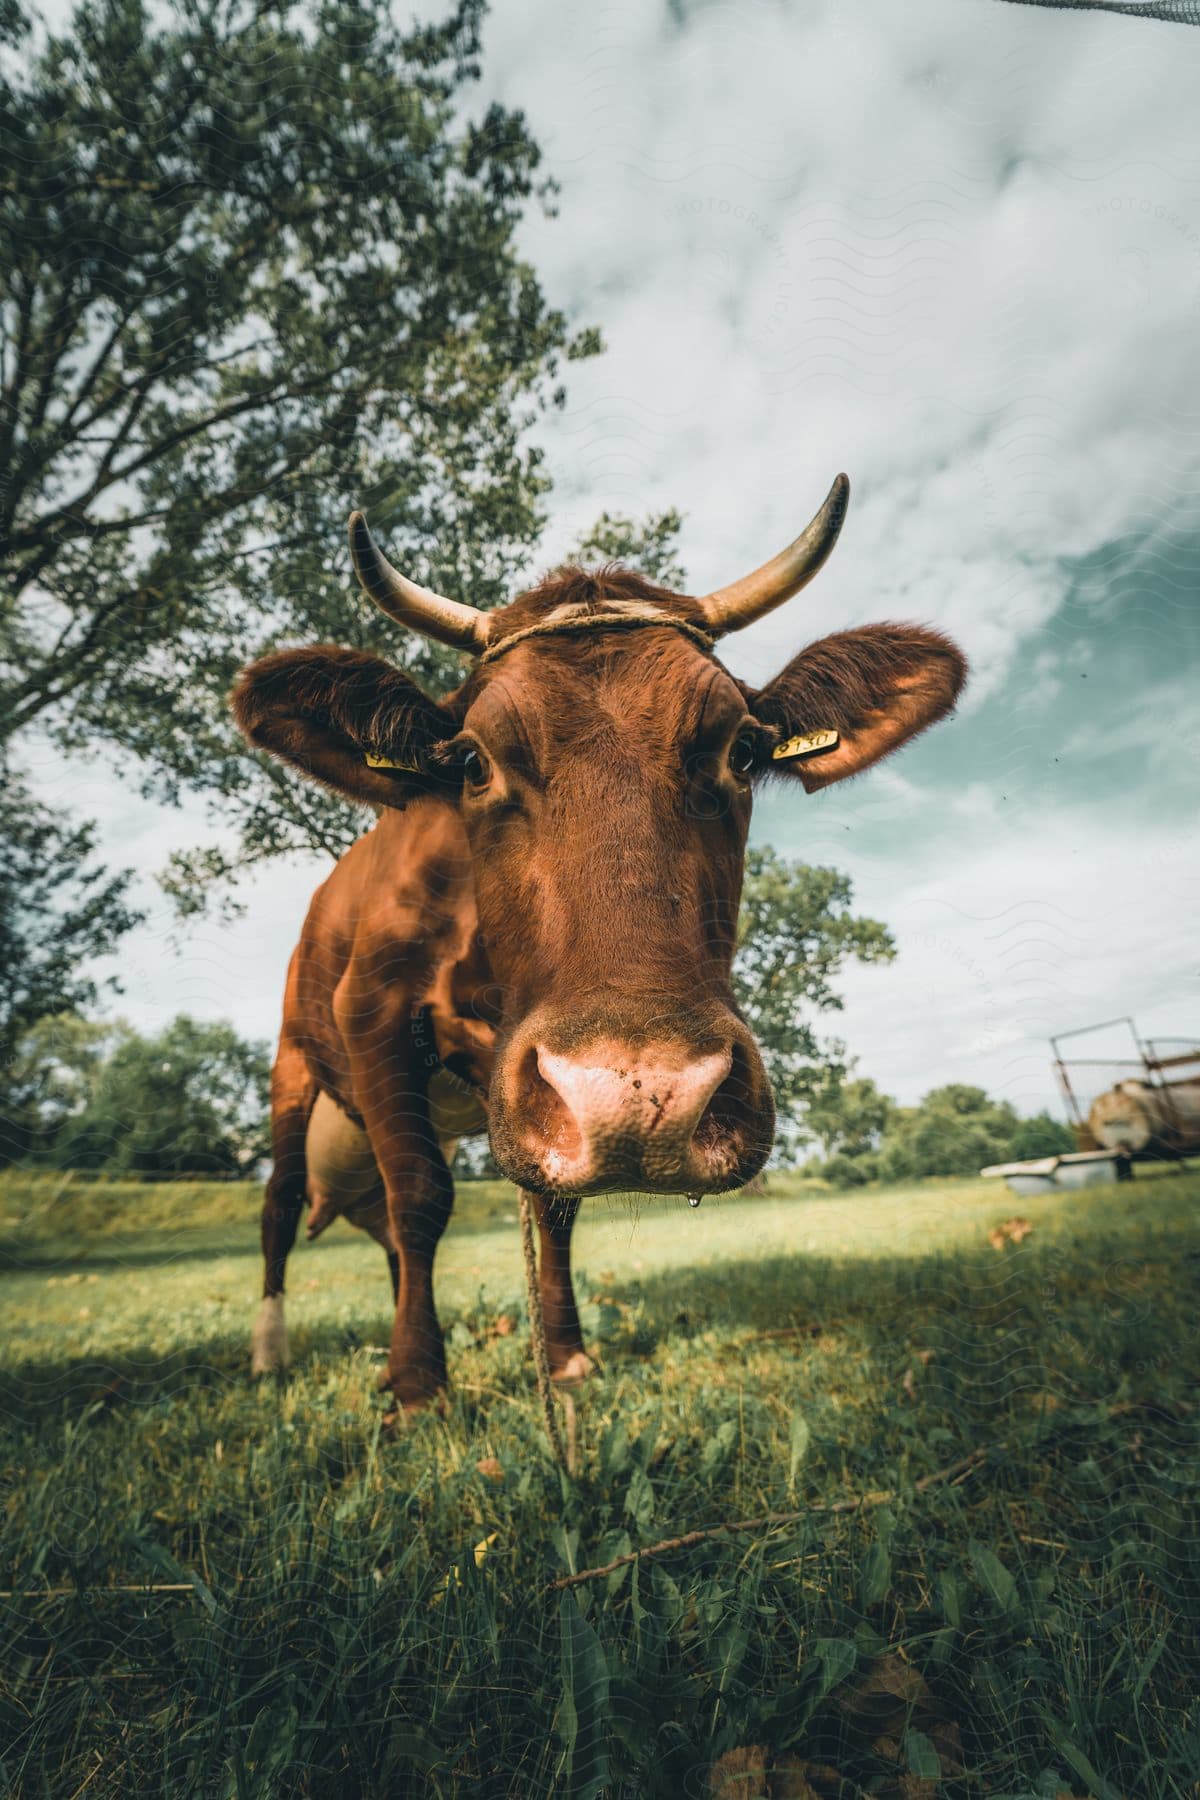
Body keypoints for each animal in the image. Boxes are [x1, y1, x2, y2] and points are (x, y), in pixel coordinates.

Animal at [233, 478, 964, 1404]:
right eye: (471, 762)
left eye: (741, 750)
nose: (646, 1094)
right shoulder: (373, 1009)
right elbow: (421, 1196)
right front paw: (417, 1382)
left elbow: (549, 1205)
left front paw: (564, 1351)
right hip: (293, 1065)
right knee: (283, 1203)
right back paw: (270, 1349)